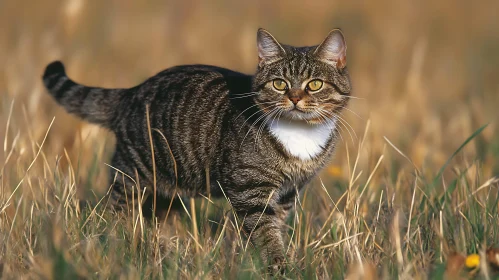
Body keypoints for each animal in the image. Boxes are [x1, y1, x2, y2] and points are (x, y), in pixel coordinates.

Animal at [44, 27, 356, 272]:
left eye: (314, 84)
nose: (294, 98)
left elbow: (272, 228)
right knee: (117, 212)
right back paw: (118, 245)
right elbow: (265, 233)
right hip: (134, 175)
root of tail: (131, 92)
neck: (299, 135)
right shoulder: (249, 191)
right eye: (279, 84)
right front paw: (278, 267)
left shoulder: (288, 193)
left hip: (165, 189)